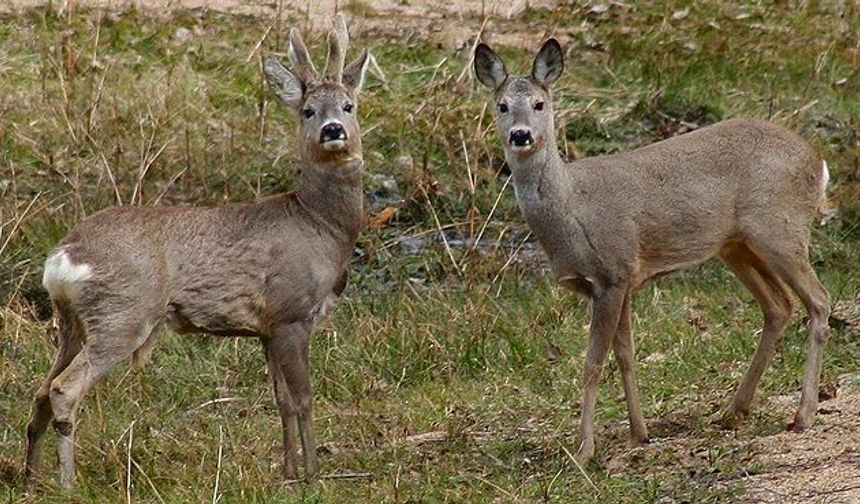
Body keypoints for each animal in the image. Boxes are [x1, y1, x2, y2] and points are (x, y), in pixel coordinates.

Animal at [26, 16, 370, 488]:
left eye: (349, 106)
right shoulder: (291, 313)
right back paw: (67, 482)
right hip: (123, 313)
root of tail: (64, 256)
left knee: (41, 389)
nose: (332, 130)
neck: (319, 225)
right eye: (308, 110)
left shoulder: (266, 329)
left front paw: (287, 472)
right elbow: (304, 399)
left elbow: (280, 400)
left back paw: (28, 478)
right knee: (63, 388)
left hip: (72, 322)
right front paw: (313, 477)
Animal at [474, 38, 828, 464]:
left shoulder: (612, 272)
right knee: (779, 306)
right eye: (502, 105)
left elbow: (593, 362)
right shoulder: (623, 279)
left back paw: (803, 415)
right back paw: (733, 411)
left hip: (781, 229)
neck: (572, 209)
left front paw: (585, 448)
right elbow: (625, 353)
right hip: (737, 245)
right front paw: (638, 433)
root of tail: (818, 162)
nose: (521, 135)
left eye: (540, 104)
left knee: (818, 301)